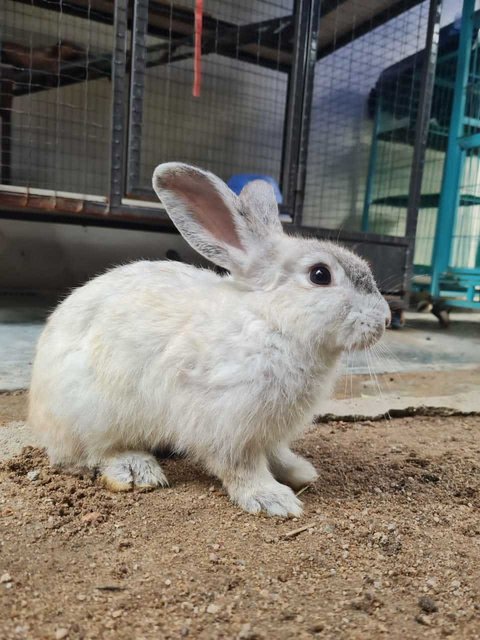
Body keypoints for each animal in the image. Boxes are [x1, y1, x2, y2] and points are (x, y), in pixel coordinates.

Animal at [28, 162, 390, 516]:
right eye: (319, 275)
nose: (385, 318)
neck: (271, 323)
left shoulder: (267, 432)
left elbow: (276, 453)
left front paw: (300, 471)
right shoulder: (227, 425)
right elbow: (241, 467)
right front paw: (273, 500)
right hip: (94, 414)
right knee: (91, 453)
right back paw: (137, 470)